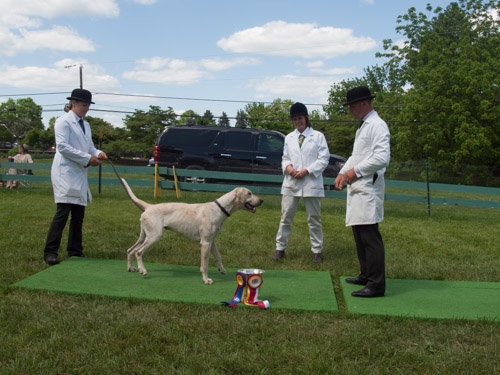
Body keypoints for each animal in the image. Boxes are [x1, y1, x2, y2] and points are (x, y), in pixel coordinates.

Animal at [120, 179, 264, 284]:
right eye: (249, 193)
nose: (262, 200)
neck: (219, 208)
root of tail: (149, 207)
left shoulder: (212, 241)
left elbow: (218, 256)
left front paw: (222, 270)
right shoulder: (205, 243)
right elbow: (204, 265)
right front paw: (206, 280)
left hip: (144, 236)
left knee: (130, 250)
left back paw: (131, 268)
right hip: (154, 237)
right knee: (138, 252)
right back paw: (143, 270)